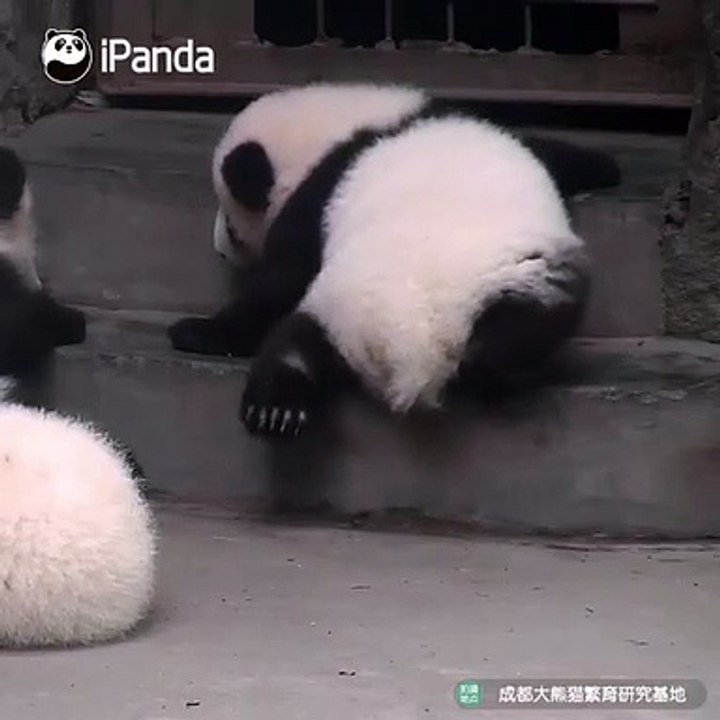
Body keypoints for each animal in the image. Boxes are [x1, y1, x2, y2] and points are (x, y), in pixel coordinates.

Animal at [168, 83, 616, 438]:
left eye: (231, 223)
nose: (220, 248)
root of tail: (416, 340)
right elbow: (547, 149)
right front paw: (605, 167)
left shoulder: (318, 195)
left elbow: (282, 280)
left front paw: (199, 331)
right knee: (296, 341)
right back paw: (277, 409)